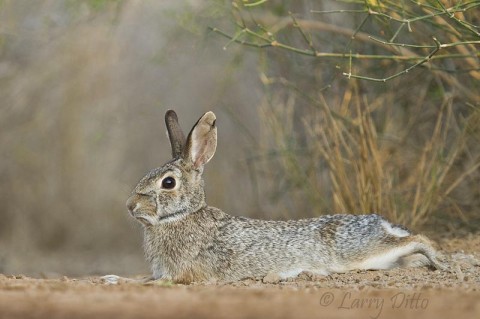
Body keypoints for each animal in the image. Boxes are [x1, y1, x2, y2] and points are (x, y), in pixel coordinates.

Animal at [124, 110, 446, 284]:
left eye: (168, 183)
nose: (130, 206)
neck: (181, 216)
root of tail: (382, 223)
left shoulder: (181, 274)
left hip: (358, 252)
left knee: (418, 239)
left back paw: (441, 262)